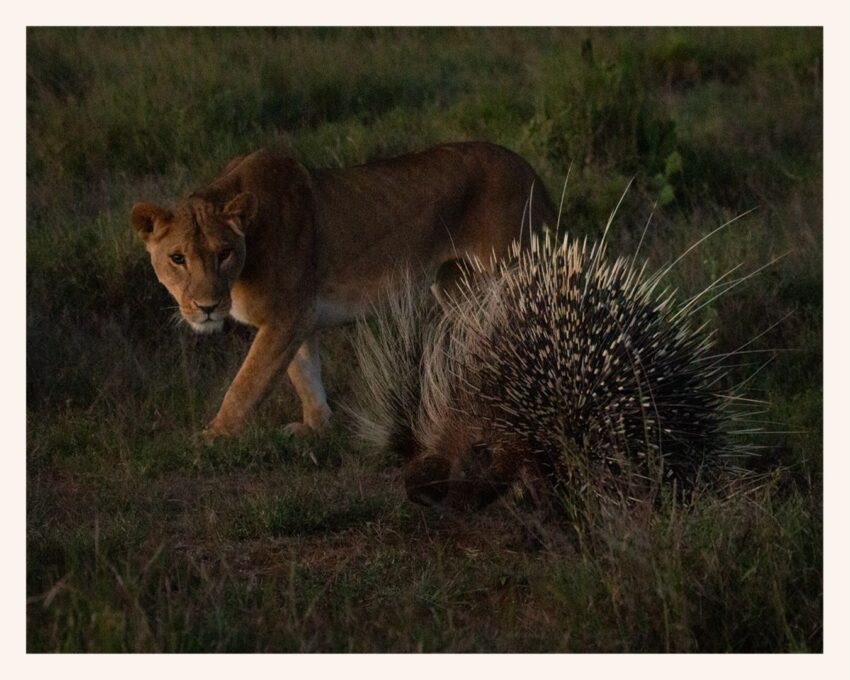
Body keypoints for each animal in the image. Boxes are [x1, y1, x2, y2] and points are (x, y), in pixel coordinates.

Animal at [131, 142, 557, 440]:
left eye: (223, 254)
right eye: (177, 258)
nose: (207, 306)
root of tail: (531, 171)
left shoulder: (287, 315)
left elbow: (247, 383)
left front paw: (213, 437)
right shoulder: (298, 317)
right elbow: (304, 372)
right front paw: (316, 427)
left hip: (509, 271)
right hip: (458, 286)